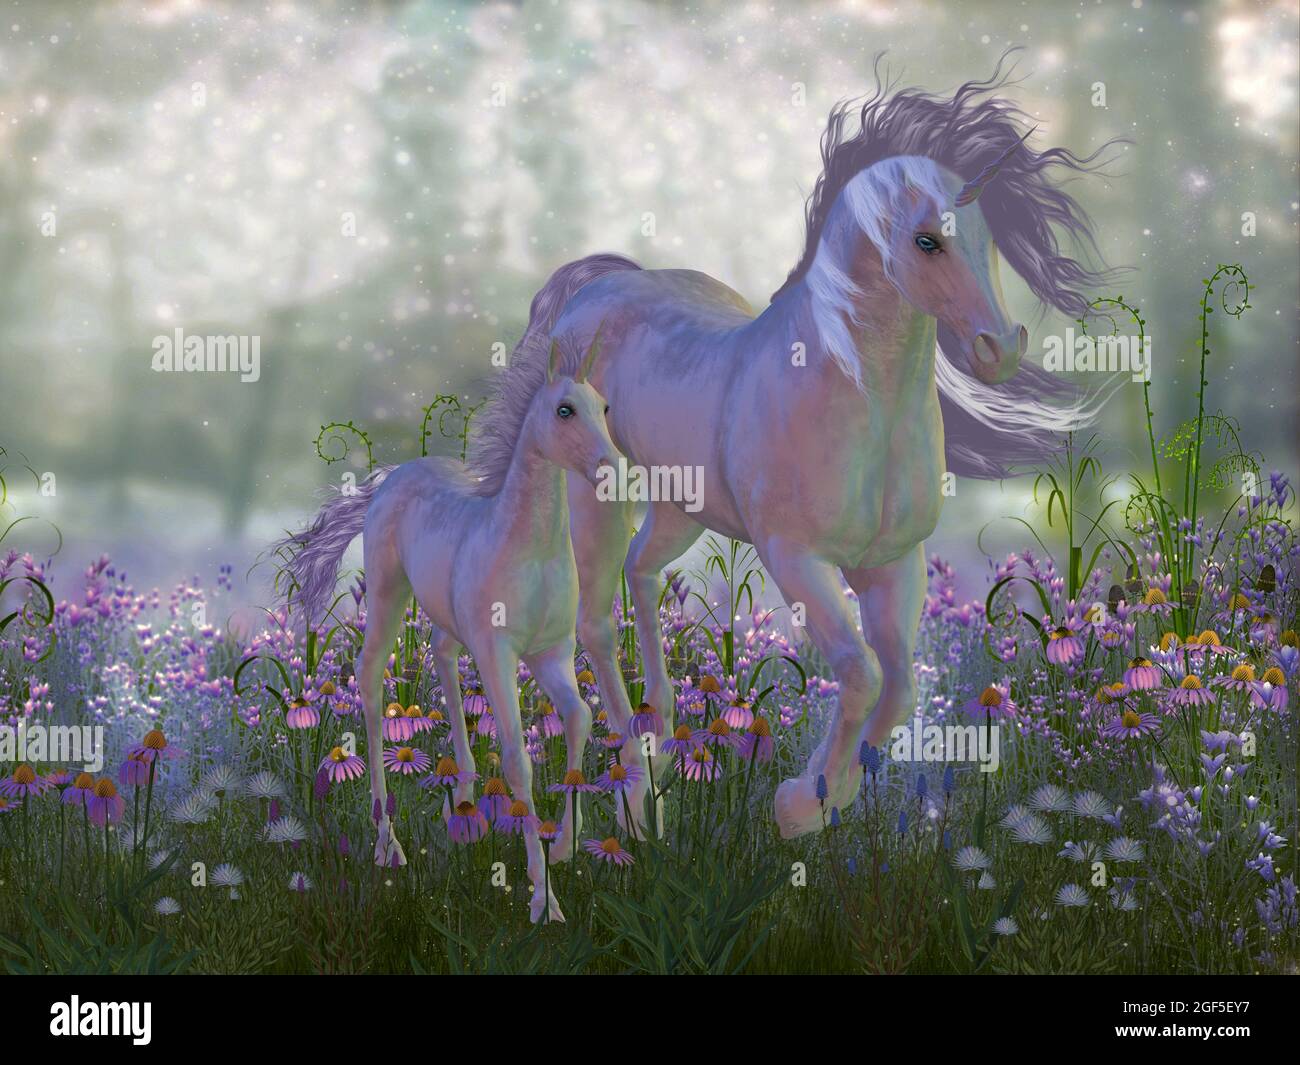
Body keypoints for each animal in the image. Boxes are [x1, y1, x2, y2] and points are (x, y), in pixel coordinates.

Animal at [280, 336, 621, 923]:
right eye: (564, 411)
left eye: (603, 407)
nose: (610, 469)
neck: (530, 552)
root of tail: (394, 475)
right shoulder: (499, 654)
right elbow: (518, 761)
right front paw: (543, 898)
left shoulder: (551, 653)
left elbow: (580, 718)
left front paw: (566, 846)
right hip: (389, 595)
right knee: (369, 678)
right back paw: (388, 843)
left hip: (445, 618)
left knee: (440, 656)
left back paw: (461, 798)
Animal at [485, 57, 1117, 839]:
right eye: (926, 241)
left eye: (987, 237)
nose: (998, 349)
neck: (853, 401)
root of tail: (596, 289)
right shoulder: (797, 558)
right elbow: (860, 671)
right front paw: (798, 803)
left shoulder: (892, 563)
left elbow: (898, 684)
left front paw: (827, 794)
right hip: (593, 491)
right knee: (597, 621)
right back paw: (637, 789)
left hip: (682, 503)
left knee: (643, 572)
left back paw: (660, 733)